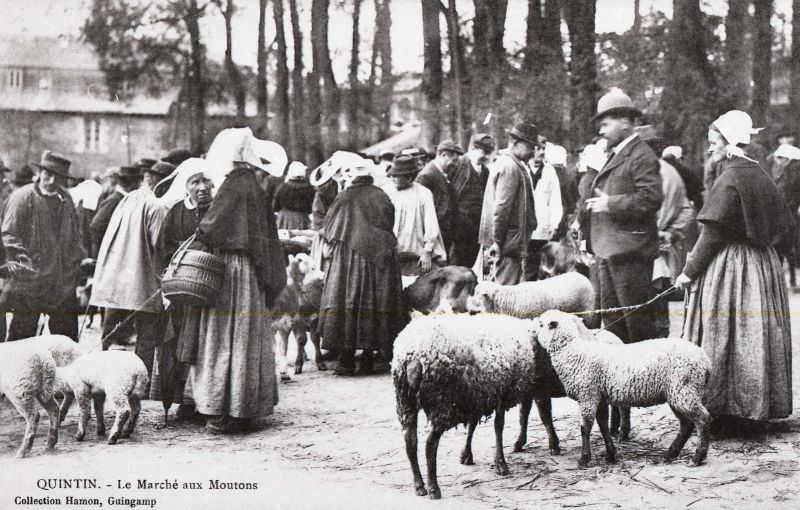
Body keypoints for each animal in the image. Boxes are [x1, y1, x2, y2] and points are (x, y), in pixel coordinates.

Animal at [532, 308, 712, 468]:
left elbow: (585, 428)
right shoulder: (599, 397)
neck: (572, 351)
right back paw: (671, 454)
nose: (532, 330)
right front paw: (611, 454)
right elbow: (603, 425)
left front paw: (584, 459)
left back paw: (697, 457)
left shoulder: (587, 395)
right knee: (686, 425)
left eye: (541, 324)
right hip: (677, 393)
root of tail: (705, 361)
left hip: (684, 389)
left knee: (703, 420)